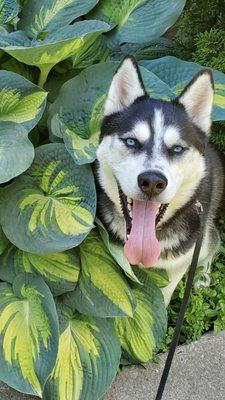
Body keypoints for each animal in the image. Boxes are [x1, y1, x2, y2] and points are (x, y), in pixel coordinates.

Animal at [96, 56, 224, 304]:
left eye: (177, 148)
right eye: (131, 141)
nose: (153, 182)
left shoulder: (179, 264)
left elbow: (164, 299)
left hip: (202, 239)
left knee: (214, 240)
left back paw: (203, 277)